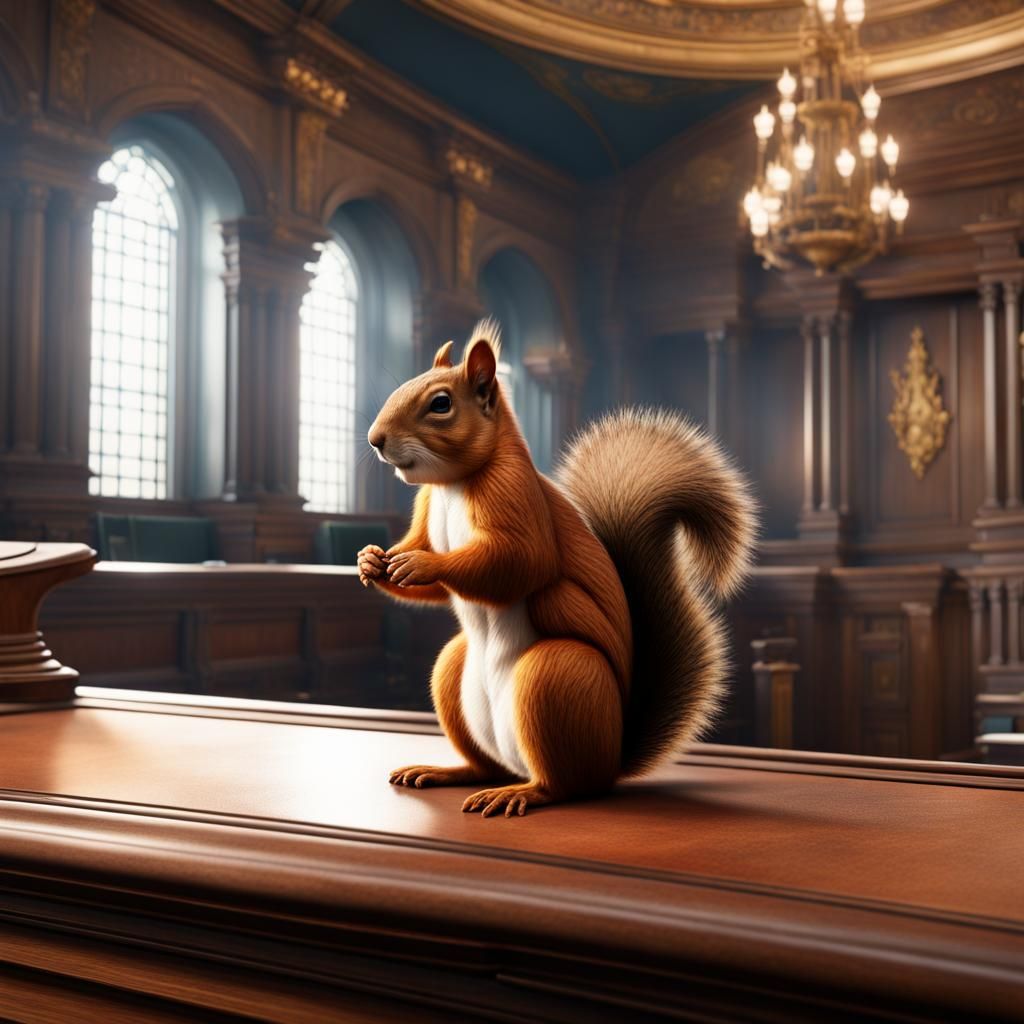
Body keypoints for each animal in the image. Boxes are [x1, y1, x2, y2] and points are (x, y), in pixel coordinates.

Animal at [359, 319, 756, 818]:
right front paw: (372, 560)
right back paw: (445, 772)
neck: (451, 484)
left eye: (441, 404)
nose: (374, 439)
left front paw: (421, 563)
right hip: (452, 674)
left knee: (565, 785)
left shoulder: (515, 496)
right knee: (485, 765)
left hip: (555, 677)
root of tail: (613, 758)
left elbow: (521, 562)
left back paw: (520, 794)